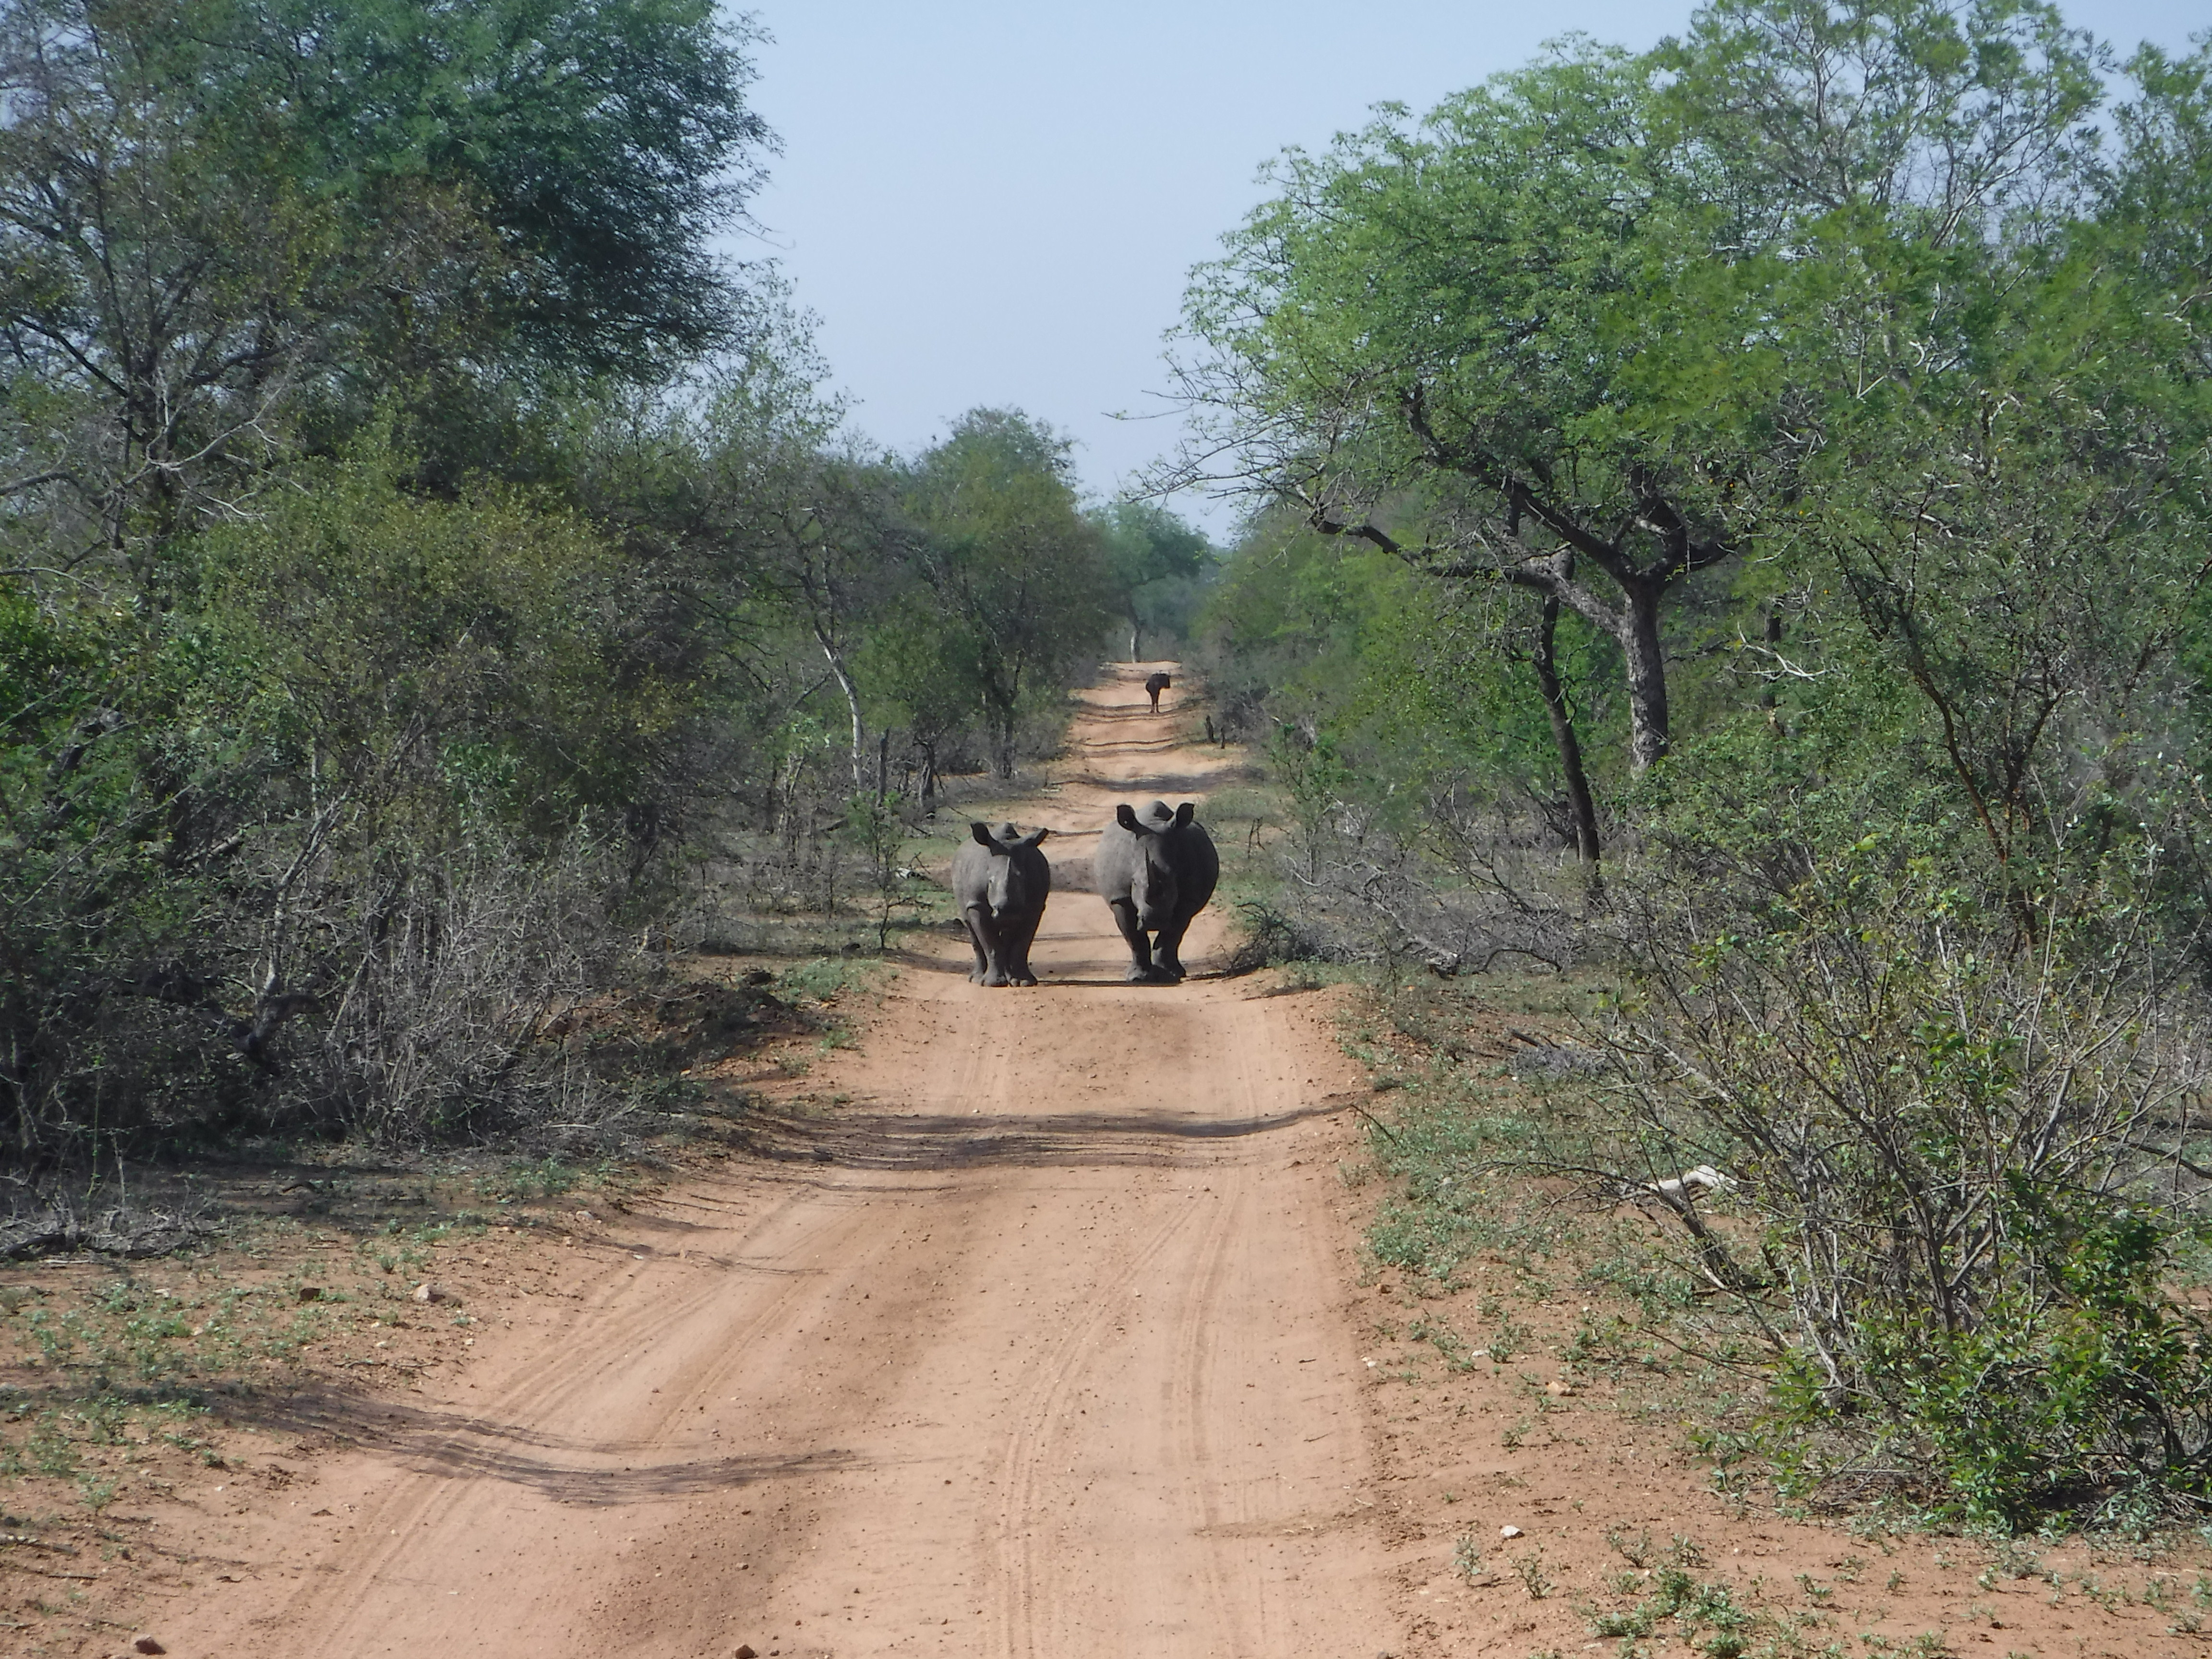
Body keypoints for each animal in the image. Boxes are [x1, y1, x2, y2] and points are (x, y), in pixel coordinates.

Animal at [951, 821, 1051, 986]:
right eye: (990, 881)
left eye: (1022, 879)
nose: (1007, 911)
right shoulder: (977, 905)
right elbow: (991, 944)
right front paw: (993, 984)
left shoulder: (1035, 907)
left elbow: (1022, 944)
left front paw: (1025, 982)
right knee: (970, 926)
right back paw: (976, 979)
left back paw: (1011, 979)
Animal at [1093, 799, 1218, 982]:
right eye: (1134, 882)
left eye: (1173, 878)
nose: (1154, 921)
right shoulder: (1120, 898)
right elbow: (1134, 937)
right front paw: (1137, 978)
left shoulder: (1187, 899)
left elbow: (1173, 934)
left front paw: (1170, 976)